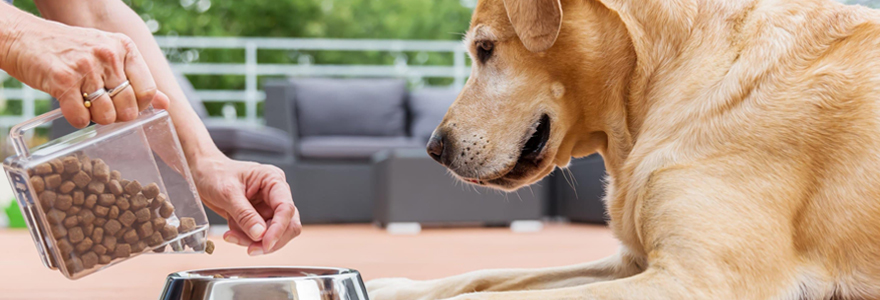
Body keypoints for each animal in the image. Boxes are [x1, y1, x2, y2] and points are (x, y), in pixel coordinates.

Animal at [368, 0, 880, 298]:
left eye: (486, 48)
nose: (434, 148)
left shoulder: (698, 280)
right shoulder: (633, 262)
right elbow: (489, 275)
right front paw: (390, 284)